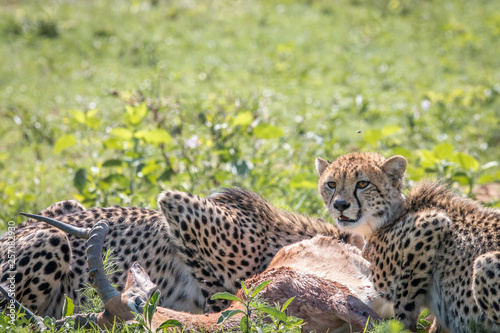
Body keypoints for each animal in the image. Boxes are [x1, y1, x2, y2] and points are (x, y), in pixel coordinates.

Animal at [316, 152, 500, 330]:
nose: (340, 204)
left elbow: (405, 301)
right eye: (331, 184)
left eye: (362, 184)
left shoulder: (432, 227)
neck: (386, 220)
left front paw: (402, 326)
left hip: (484, 263)